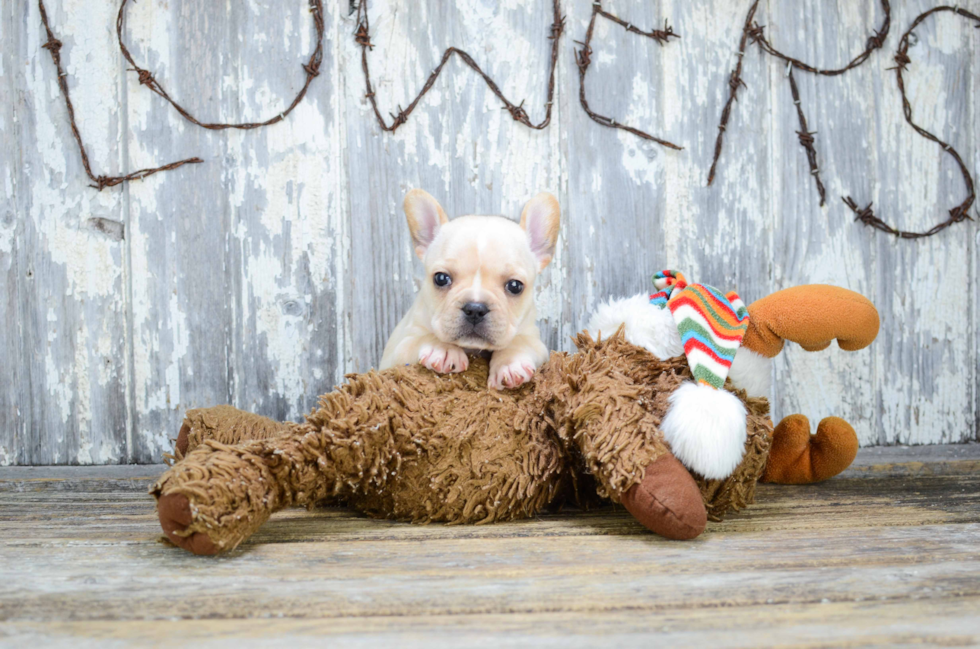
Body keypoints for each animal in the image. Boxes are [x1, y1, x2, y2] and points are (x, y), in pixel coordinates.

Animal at [378, 187, 560, 390]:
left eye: (515, 286)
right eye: (441, 278)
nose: (475, 309)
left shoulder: (534, 339)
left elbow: (519, 341)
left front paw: (509, 363)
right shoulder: (395, 350)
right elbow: (420, 338)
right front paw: (443, 349)